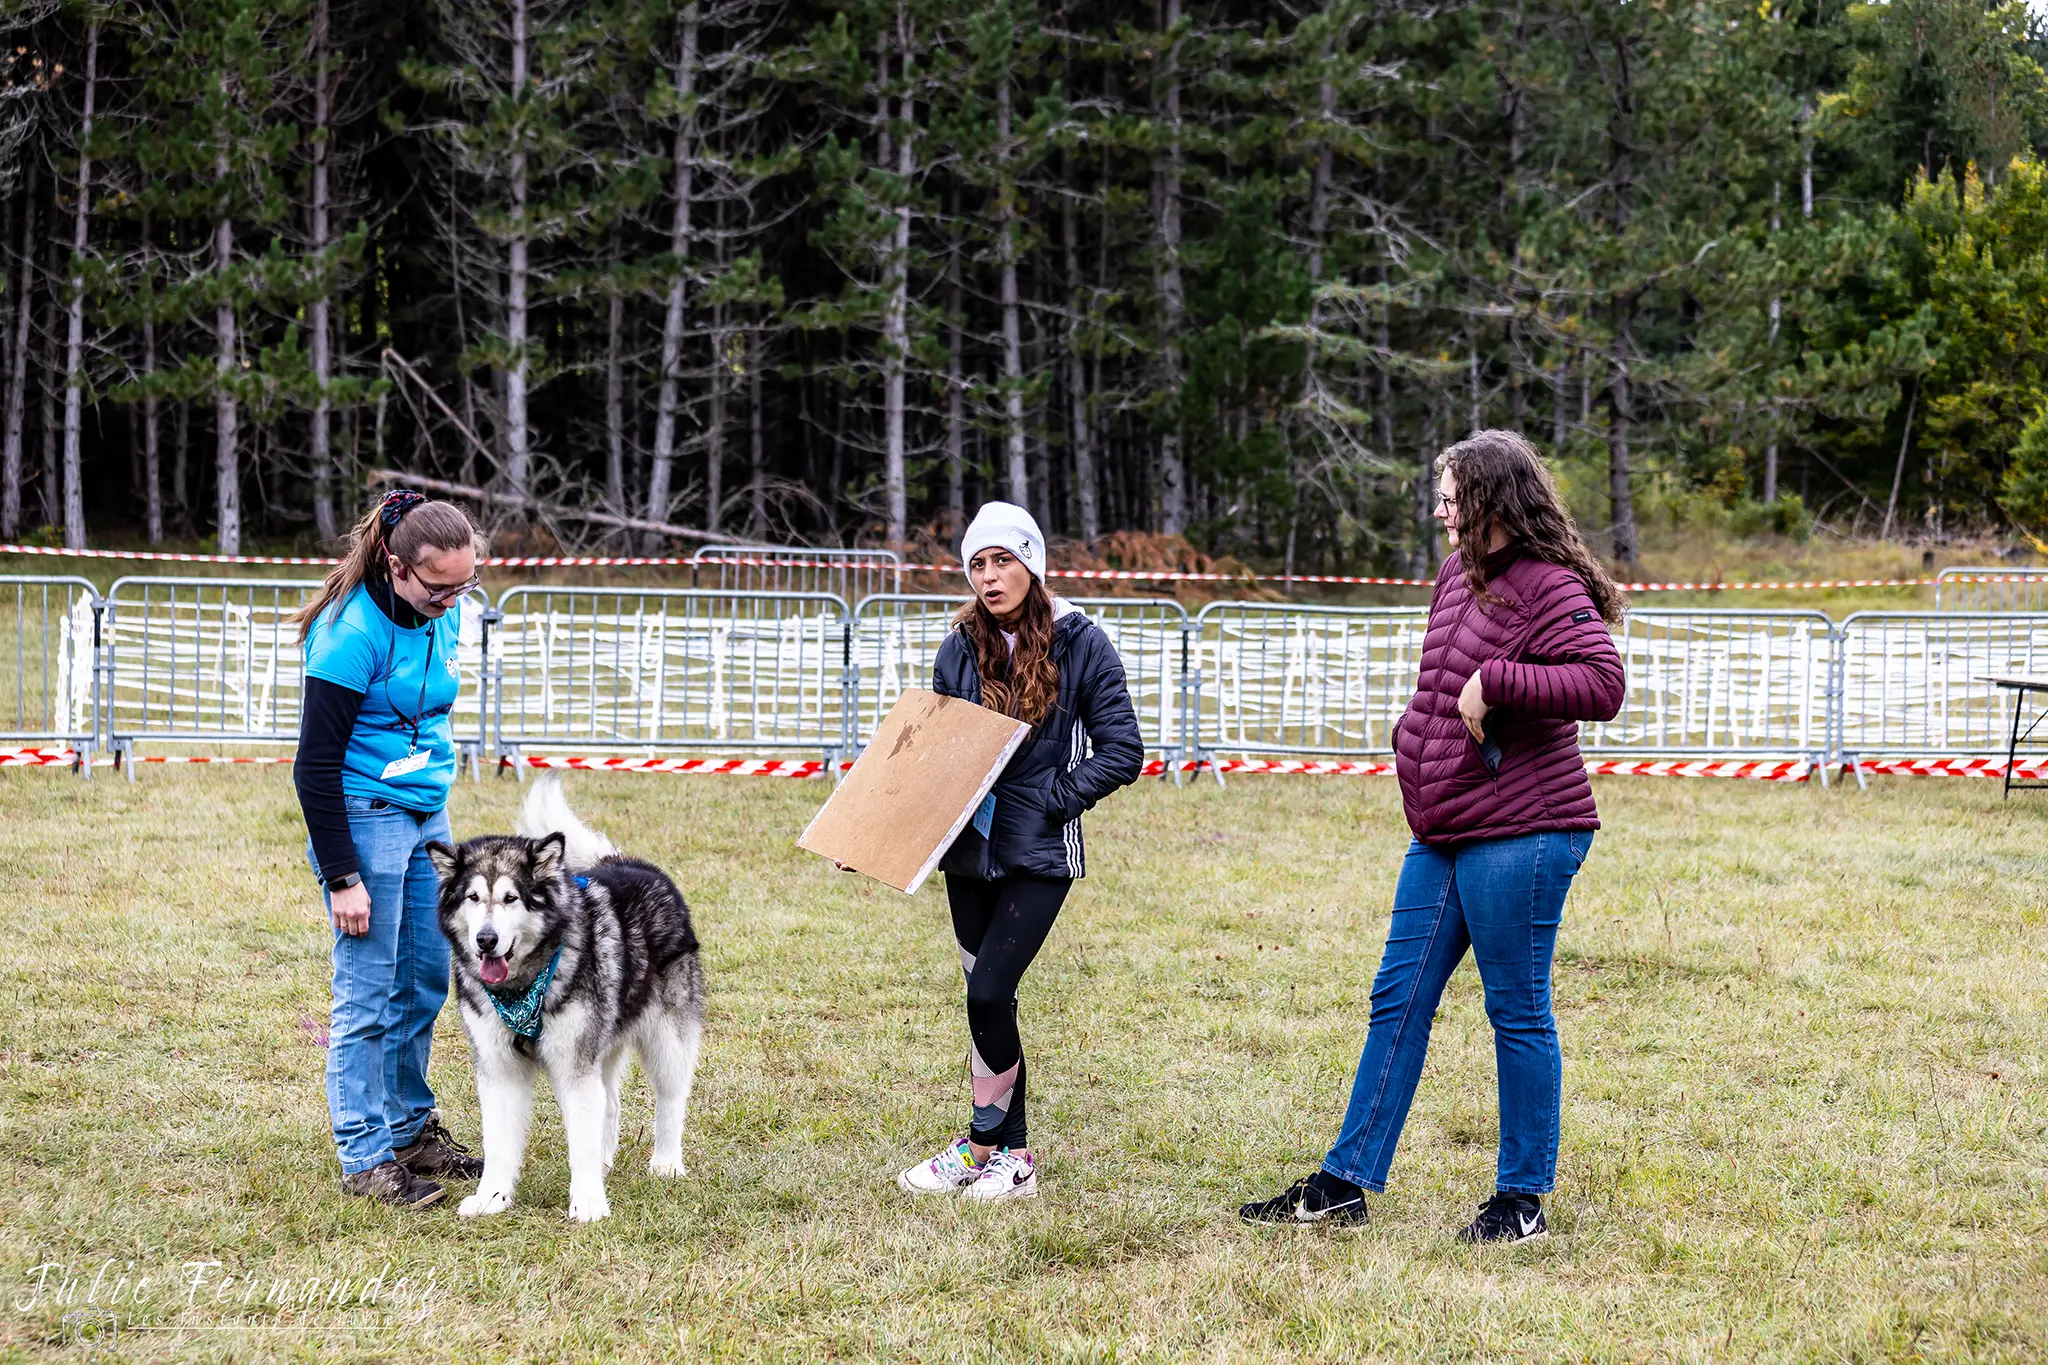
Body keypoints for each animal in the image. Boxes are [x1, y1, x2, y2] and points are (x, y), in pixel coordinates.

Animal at [423, 773, 704, 1219]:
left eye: (511, 898)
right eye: (473, 898)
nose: (486, 940)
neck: (523, 987)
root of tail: (633, 864)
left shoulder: (574, 1064)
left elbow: (581, 1145)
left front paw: (587, 1202)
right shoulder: (499, 1068)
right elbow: (499, 1144)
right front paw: (491, 1197)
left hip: (666, 1041)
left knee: (670, 1098)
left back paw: (666, 1163)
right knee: (609, 1102)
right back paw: (607, 1160)